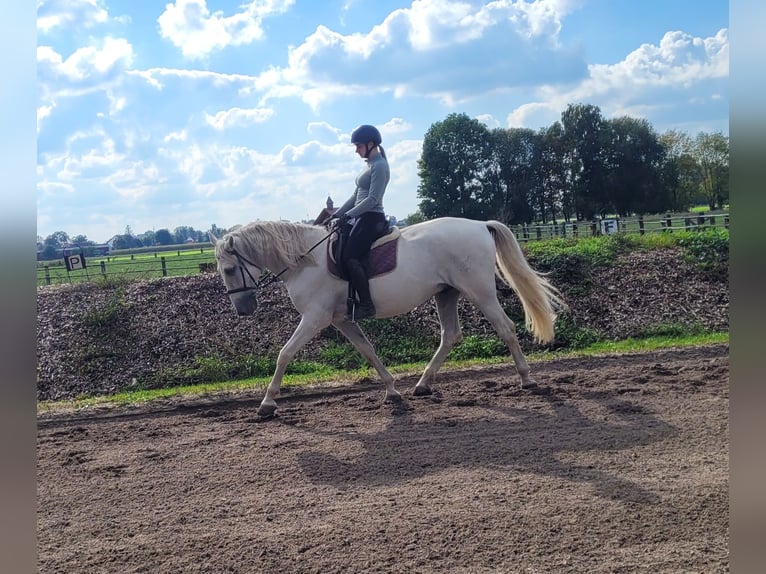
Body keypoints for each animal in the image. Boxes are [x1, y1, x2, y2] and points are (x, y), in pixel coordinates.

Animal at [211, 217, 566, 417]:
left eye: (228, 269)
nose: (242, 309)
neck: (304, 261)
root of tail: (479, 225)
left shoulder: (315, 318)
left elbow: (285, 354)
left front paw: (267, 403)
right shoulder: (342, 320)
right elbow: (368, 351)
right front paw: (392, 390)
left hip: (479, 292)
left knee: (505, 328)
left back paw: (527, 379)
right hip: (446, 293)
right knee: (450, 336)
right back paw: (422, 384)